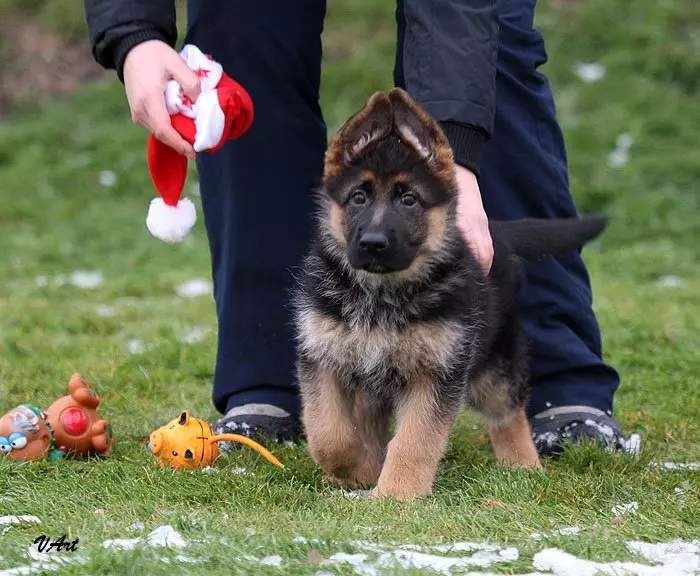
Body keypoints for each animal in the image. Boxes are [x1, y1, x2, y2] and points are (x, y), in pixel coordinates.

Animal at [292, 89, 608, 500]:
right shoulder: (322, 358)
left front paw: (396, 495)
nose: (373, 243)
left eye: (409, 200)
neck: (382, 295)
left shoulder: (438, 372)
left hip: (493, 364)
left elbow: (414, 440)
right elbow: (329, 434)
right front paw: (355, 470)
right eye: (358, 197)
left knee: (508, 412)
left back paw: (523, 467)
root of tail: (498, 232)